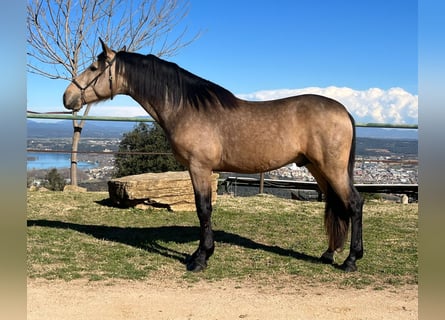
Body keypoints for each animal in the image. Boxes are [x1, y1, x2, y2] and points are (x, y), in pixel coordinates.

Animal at [63, 38, 364, 272]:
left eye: (93, 67)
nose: (67, 97)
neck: (186, 108)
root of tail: (343, 111)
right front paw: (202, 254)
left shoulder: (200, 168)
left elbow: (203, 209)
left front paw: (201, 257)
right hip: (317, 168)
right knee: (336, 204)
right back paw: (328, 254)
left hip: (332, 168)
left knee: (354, 203)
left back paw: (351, 260)